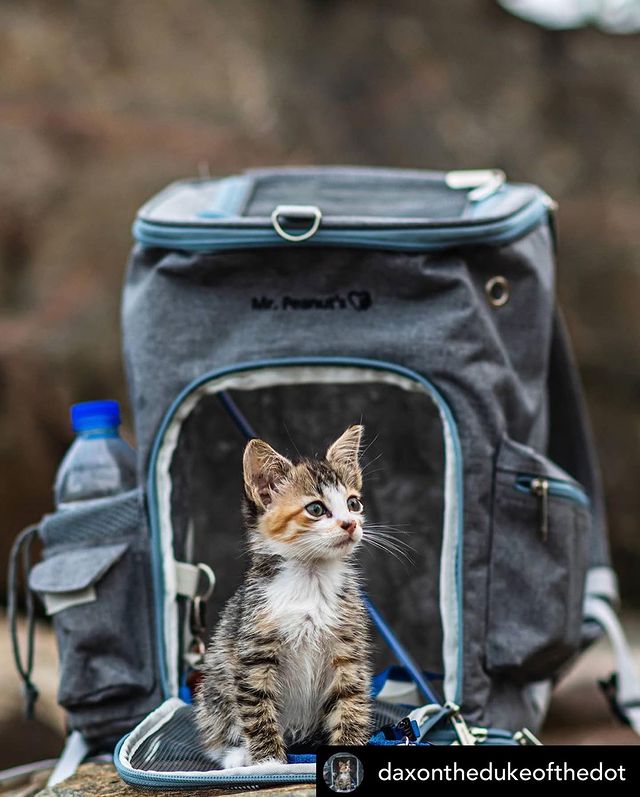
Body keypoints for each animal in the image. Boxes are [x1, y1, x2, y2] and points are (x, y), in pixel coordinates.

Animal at [195, 422, 376, 764]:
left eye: (353, 503)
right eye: (316, 508)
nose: (350, 524)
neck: (311, 580)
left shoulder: (347, 649)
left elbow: (350, 701)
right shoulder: (253, 651)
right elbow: (257, 709)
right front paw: (267, 763)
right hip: (213, 690)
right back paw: (236, 755)